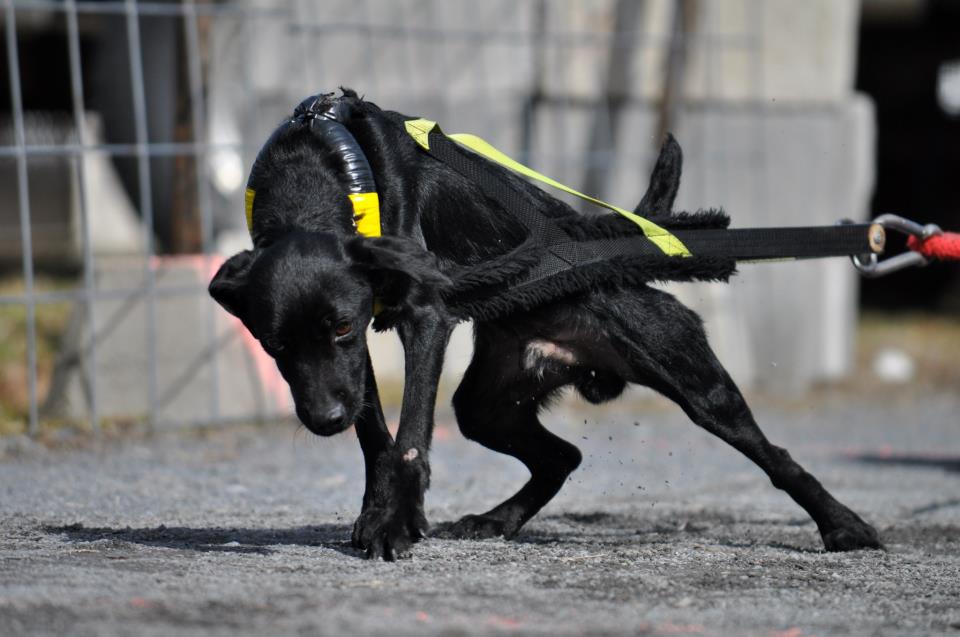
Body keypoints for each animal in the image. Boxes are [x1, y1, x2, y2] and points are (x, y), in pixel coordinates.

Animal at [210, 88, 876, 556]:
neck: (318, 179)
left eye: (343, 327)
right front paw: (379, 515)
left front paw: (397, 522)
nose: (325, 420)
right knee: (562, 458)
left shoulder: (421, 318)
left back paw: (845, 527)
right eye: (273, 344)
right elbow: (376, 437)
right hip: (487, 404)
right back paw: (497, 520)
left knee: (776, 457)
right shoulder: (354, 368)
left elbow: (409, 436)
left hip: (695, 379)